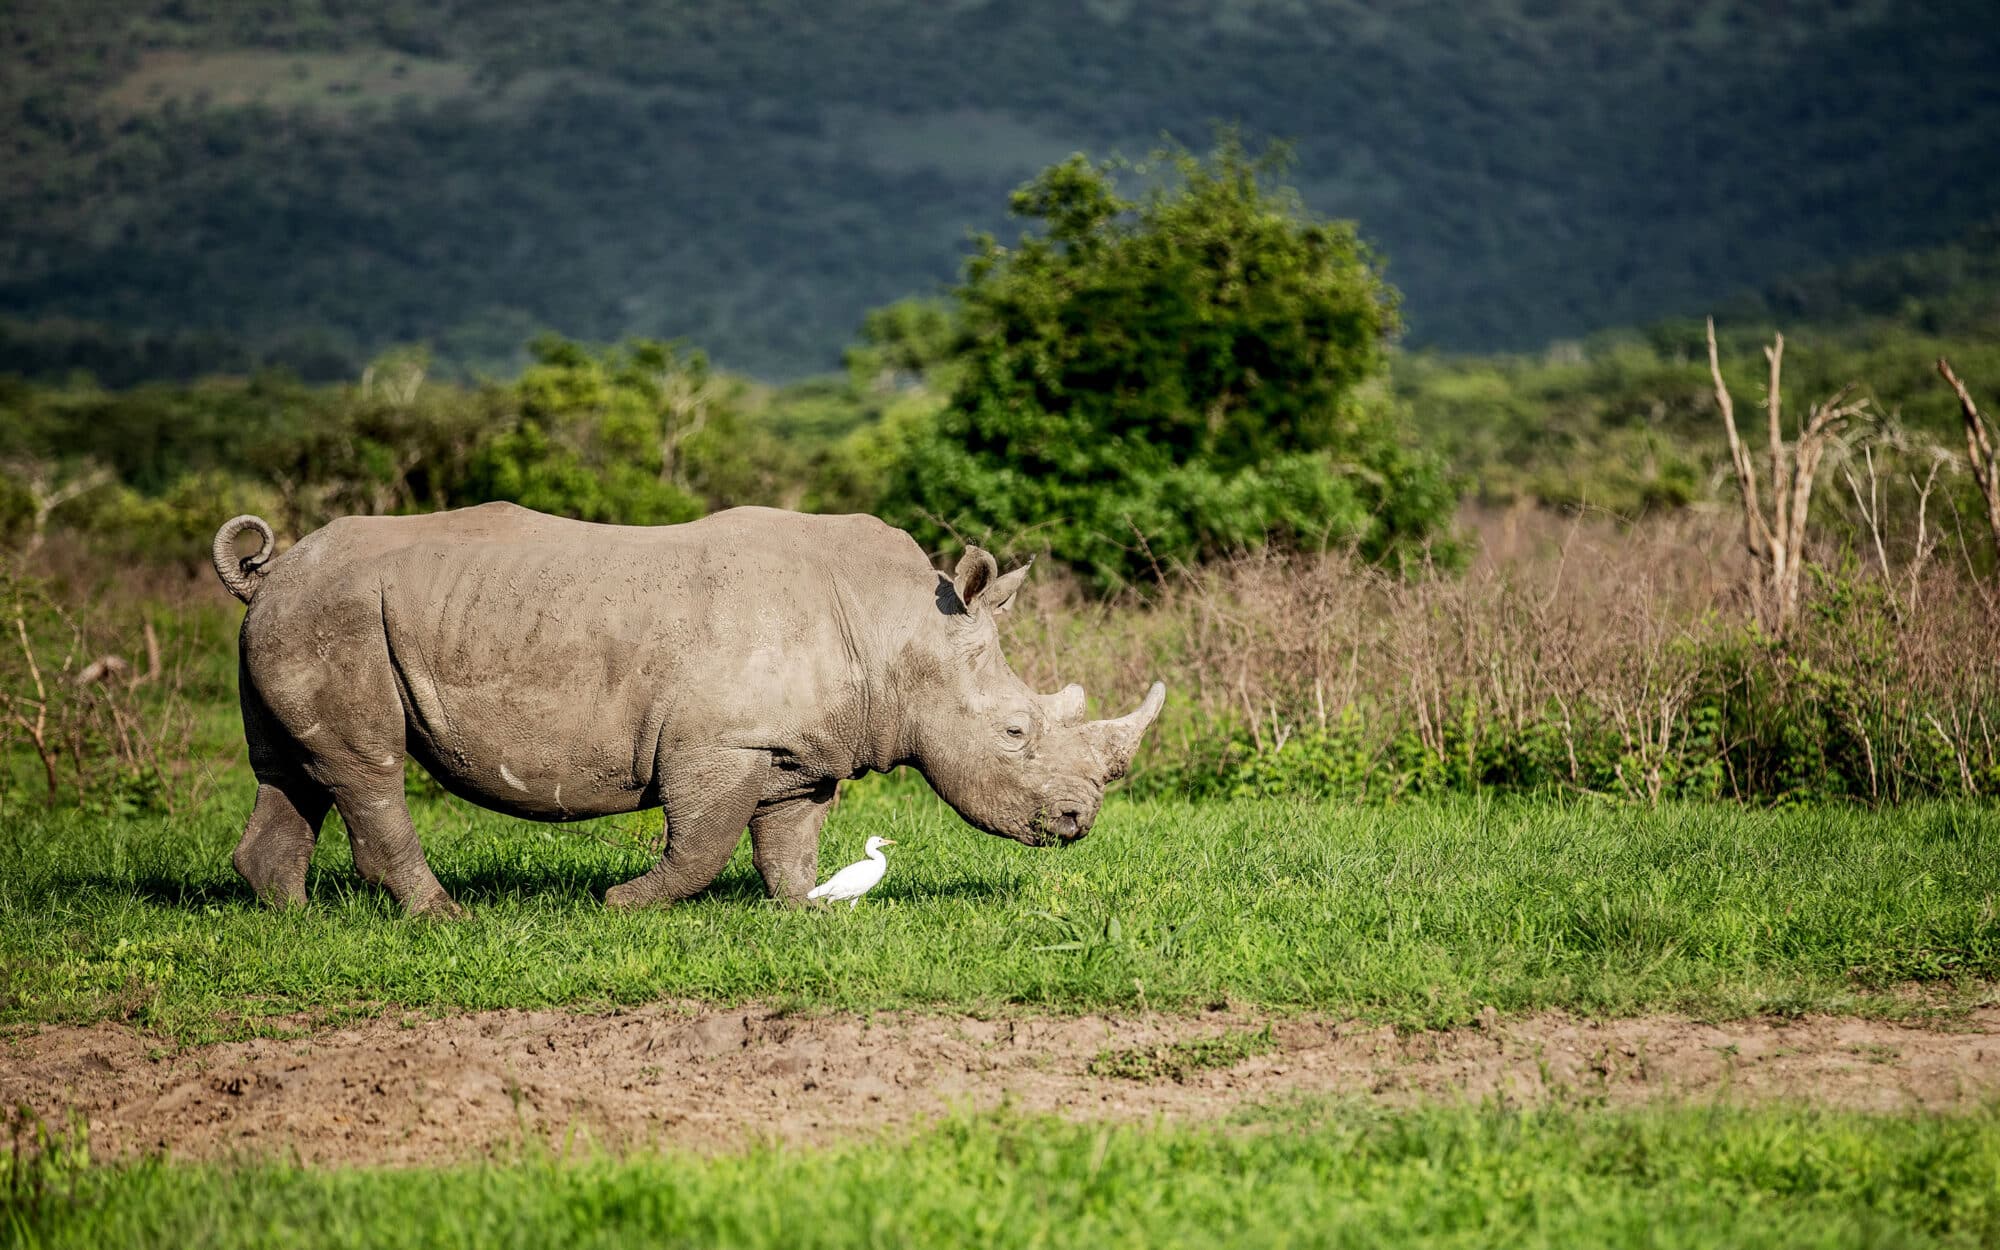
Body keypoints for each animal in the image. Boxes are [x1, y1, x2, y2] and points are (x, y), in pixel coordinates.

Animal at [210, 503, 1165, 916]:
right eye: (1015, 733)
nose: (1078, 821)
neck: (897, 634)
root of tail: (269, 570)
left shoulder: (796, 752)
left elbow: (788, 842)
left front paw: (807, 910)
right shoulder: (722, 744)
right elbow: (702, 844)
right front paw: (619, 903)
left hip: (298, 617)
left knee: (294, 770)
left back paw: (290, 919)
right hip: (335, 615)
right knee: (366, 766)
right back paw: (441, 917)